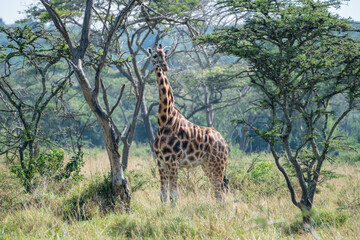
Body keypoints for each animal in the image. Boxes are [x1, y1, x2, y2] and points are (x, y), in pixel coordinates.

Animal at [148, 44, 229, 203]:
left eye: (165, 55)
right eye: (154, 55)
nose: (165, 66)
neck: (164, 121)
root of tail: (225, 142)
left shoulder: (173, 162)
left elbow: (173, 196)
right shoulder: (161, 162)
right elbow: (163, 196)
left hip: (217, 165)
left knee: (221, 192)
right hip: (207, 165)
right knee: (218, 192)